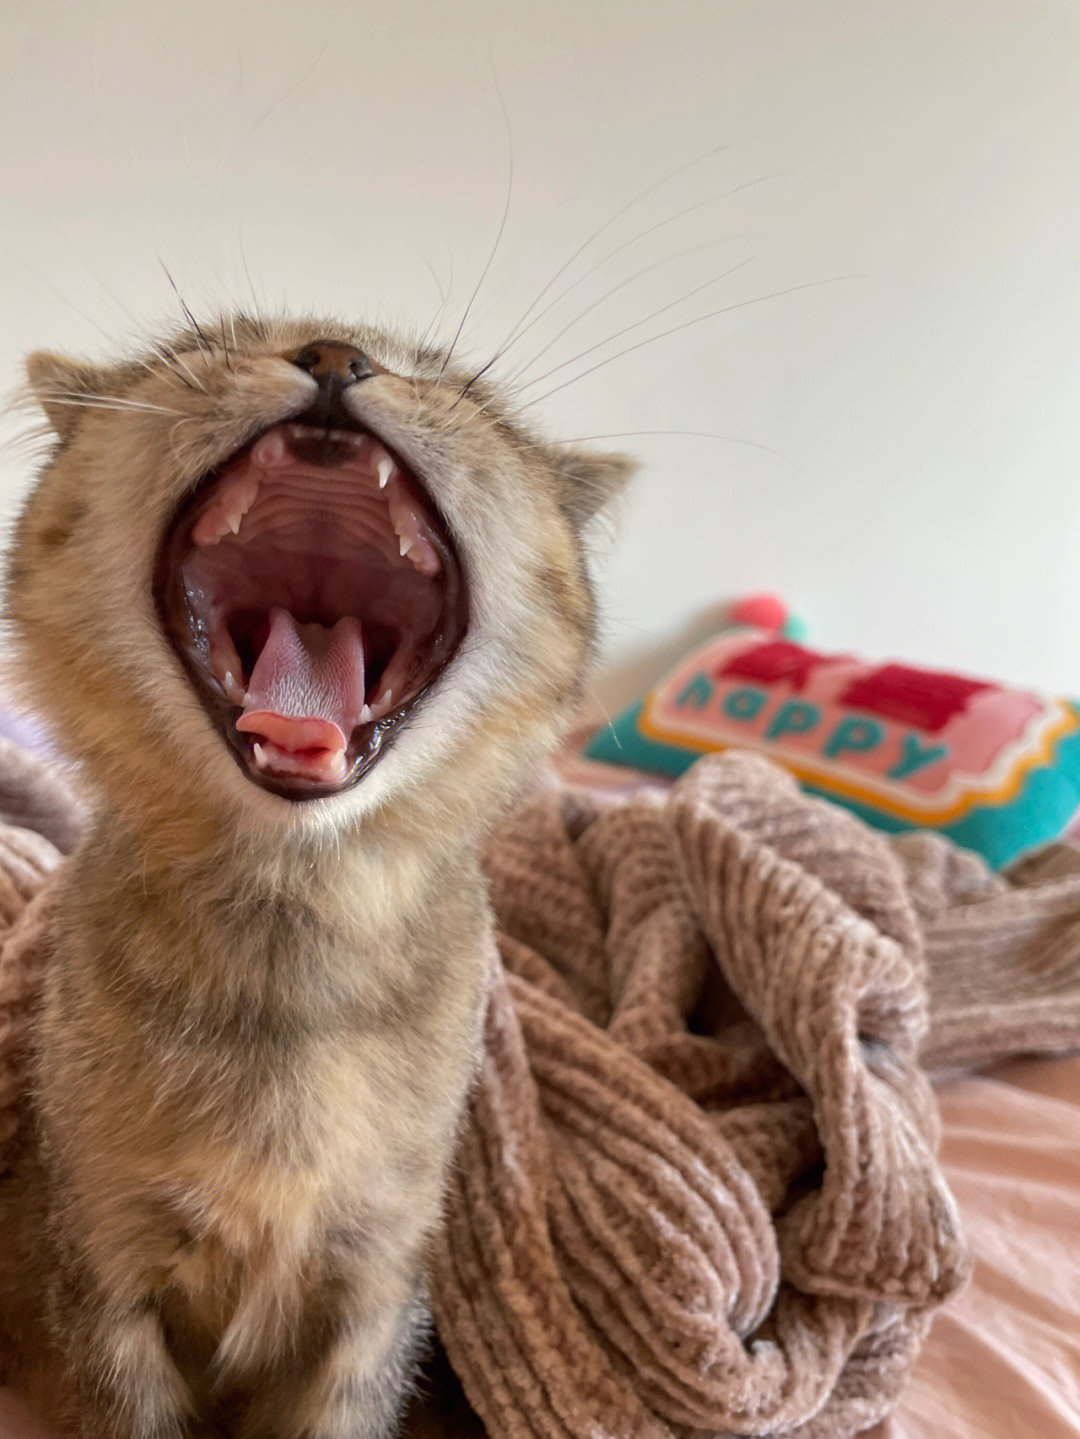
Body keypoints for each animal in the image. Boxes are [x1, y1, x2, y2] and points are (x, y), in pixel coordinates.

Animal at [0, 318, 632, 1439]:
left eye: (454, 384)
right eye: (206, 343)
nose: (334, 354)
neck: (289, 927)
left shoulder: (374, 1288)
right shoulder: (103, 1275)